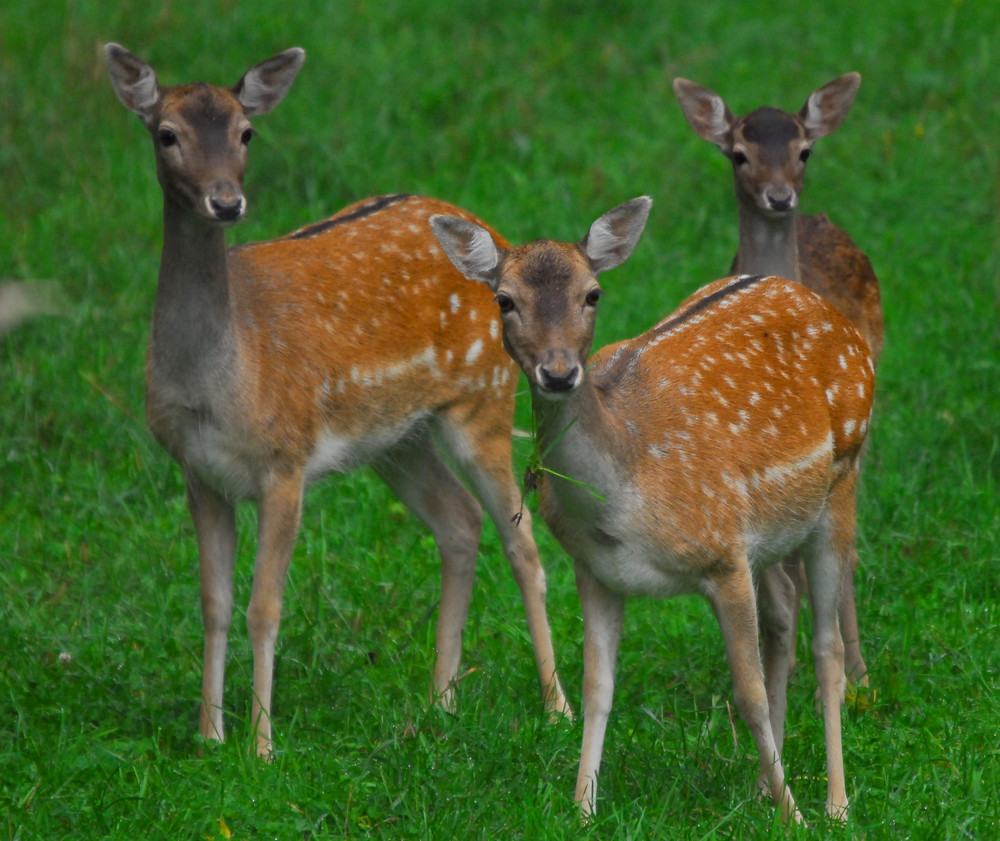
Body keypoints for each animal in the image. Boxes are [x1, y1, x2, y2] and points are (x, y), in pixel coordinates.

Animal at [103, 42, 572, 756]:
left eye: (246, 132)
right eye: (167, 134)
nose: (226, 201)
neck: (219, 383)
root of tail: (497, 247)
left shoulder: (285, 460)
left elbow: (264, 606)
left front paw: (261, 747)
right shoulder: (198, 472)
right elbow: (212, 604)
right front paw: (209, 737)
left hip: (484, 400)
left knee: (521, 542)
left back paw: (556, 710)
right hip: (397, 438)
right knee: (460, 522)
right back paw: (441, 702)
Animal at [432, 195, 876, 820]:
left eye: (593, 293)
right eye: (504, 299)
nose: (559, 373)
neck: (623, 496)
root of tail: (834, 316)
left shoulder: (722, 555)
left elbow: (747, 694)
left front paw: (795, 815)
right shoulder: (596, 570)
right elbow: (597, 688)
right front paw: (582, 808)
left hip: (843, 478)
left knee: (828, 646)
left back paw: (835, 805)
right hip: (768, 531)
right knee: (785, 613)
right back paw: (763, 787)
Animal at [672, 75, 884, 684]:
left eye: (804, 151)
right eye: (738, 154)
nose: (780, 196)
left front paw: (851, 677)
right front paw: (776, 672)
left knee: (843, 549)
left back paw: (858, 670)